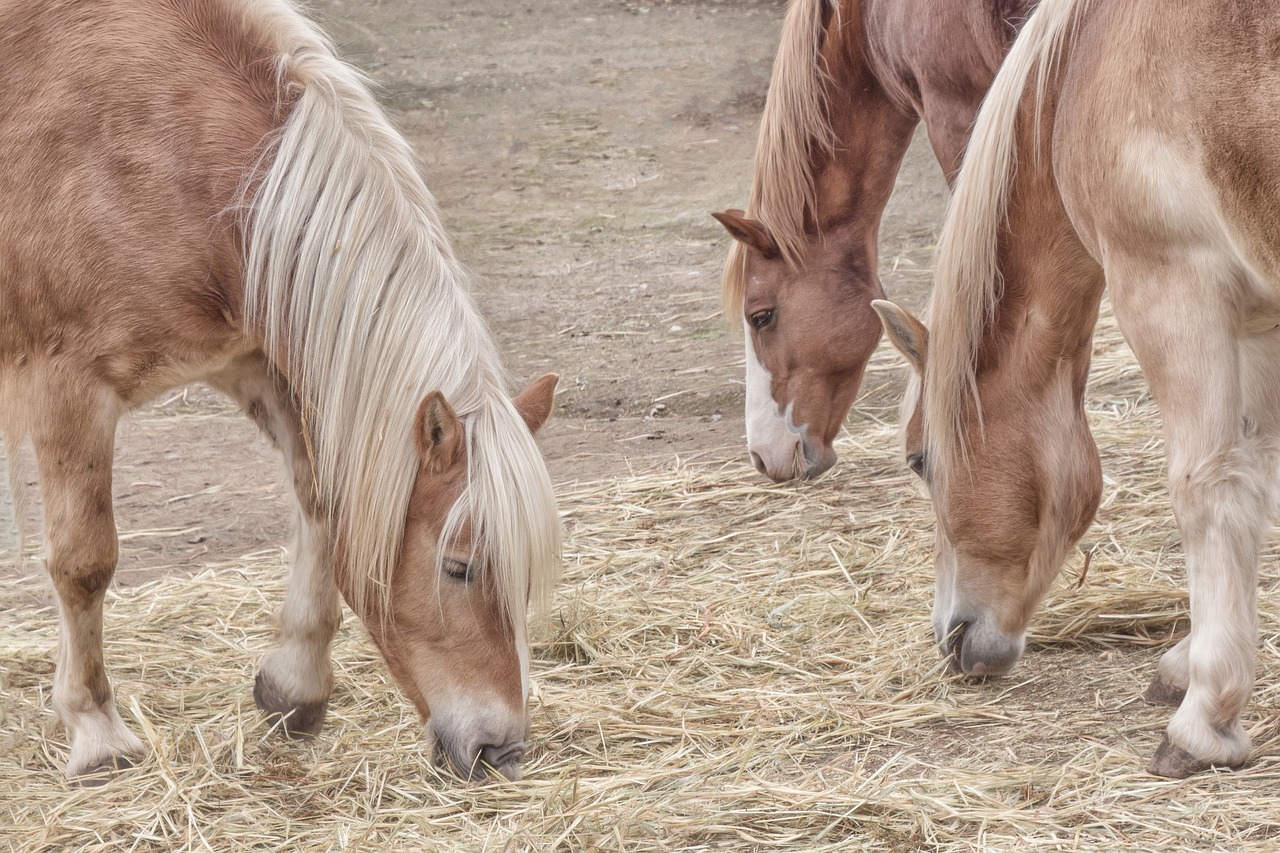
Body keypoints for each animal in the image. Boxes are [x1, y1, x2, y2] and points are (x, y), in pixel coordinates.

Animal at [0, 0, 560, 783]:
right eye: (458, 566)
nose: (501, 750)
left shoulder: (253, 362)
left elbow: (320, 501)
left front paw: (296, 687)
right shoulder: (70, 391)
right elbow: (85, 562)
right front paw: (95, 729)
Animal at [875, 0, 1280, 773]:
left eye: (919, 460)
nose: (951, 638)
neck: (1085, 64)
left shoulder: (1171, 281)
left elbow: (1209, 490)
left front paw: (1204, 716)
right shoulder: (1257, 315)